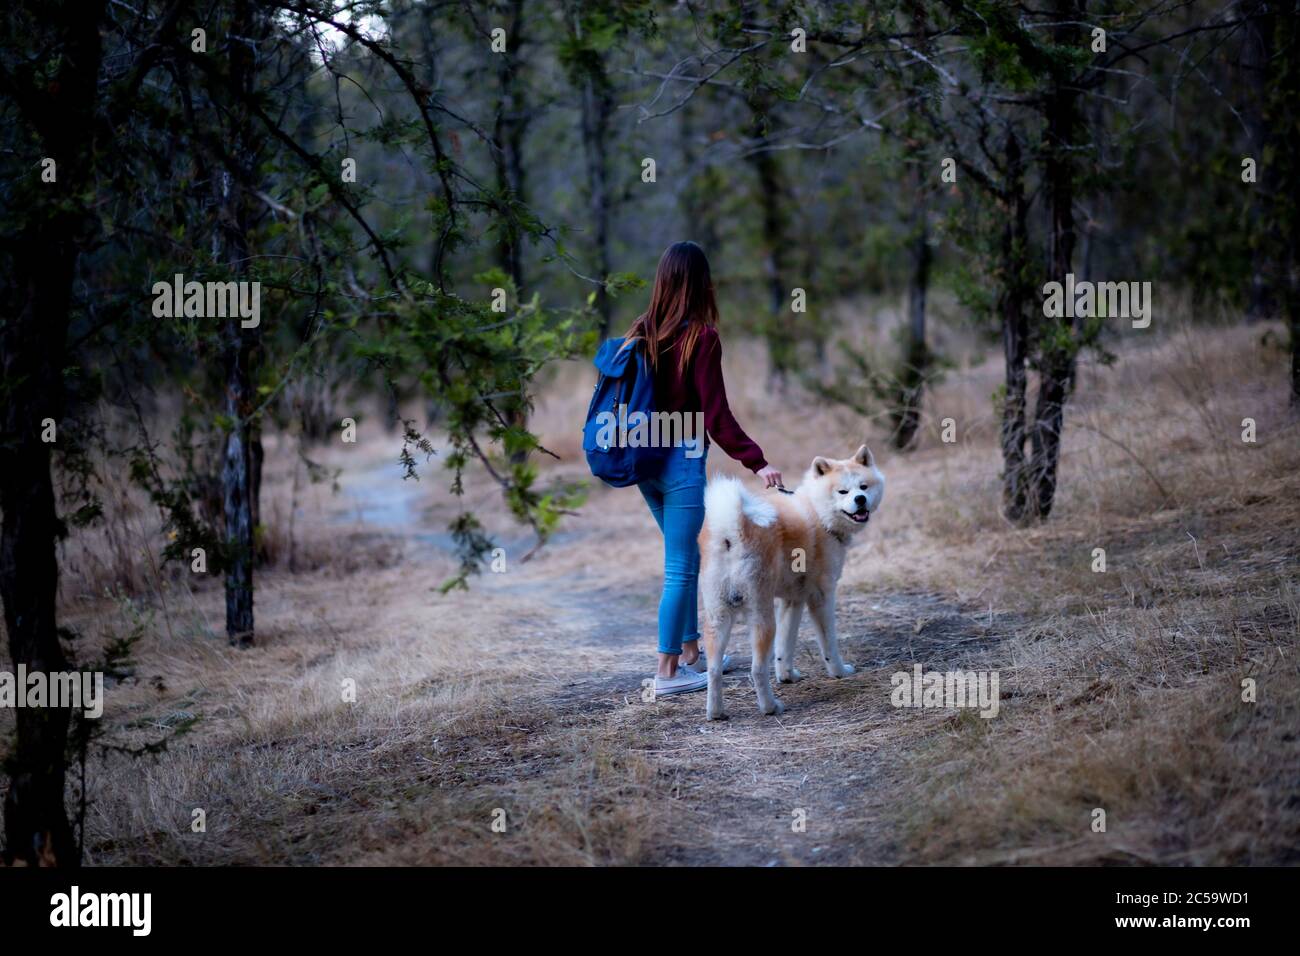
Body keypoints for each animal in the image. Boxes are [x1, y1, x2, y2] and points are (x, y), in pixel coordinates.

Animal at [702, 447, 883, 717]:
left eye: (863, 486)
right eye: (843, 492)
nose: (860, 499)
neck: (818, 513)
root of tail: (731, 532)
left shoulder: (792, 601)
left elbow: (785, 647)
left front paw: (787, 676)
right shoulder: (821, 598)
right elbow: (829, 644)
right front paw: (839, 672)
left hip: (718, 618)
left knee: (713, 670)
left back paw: (716, 713)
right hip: (762, 618)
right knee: (757, 670)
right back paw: (770, 707)